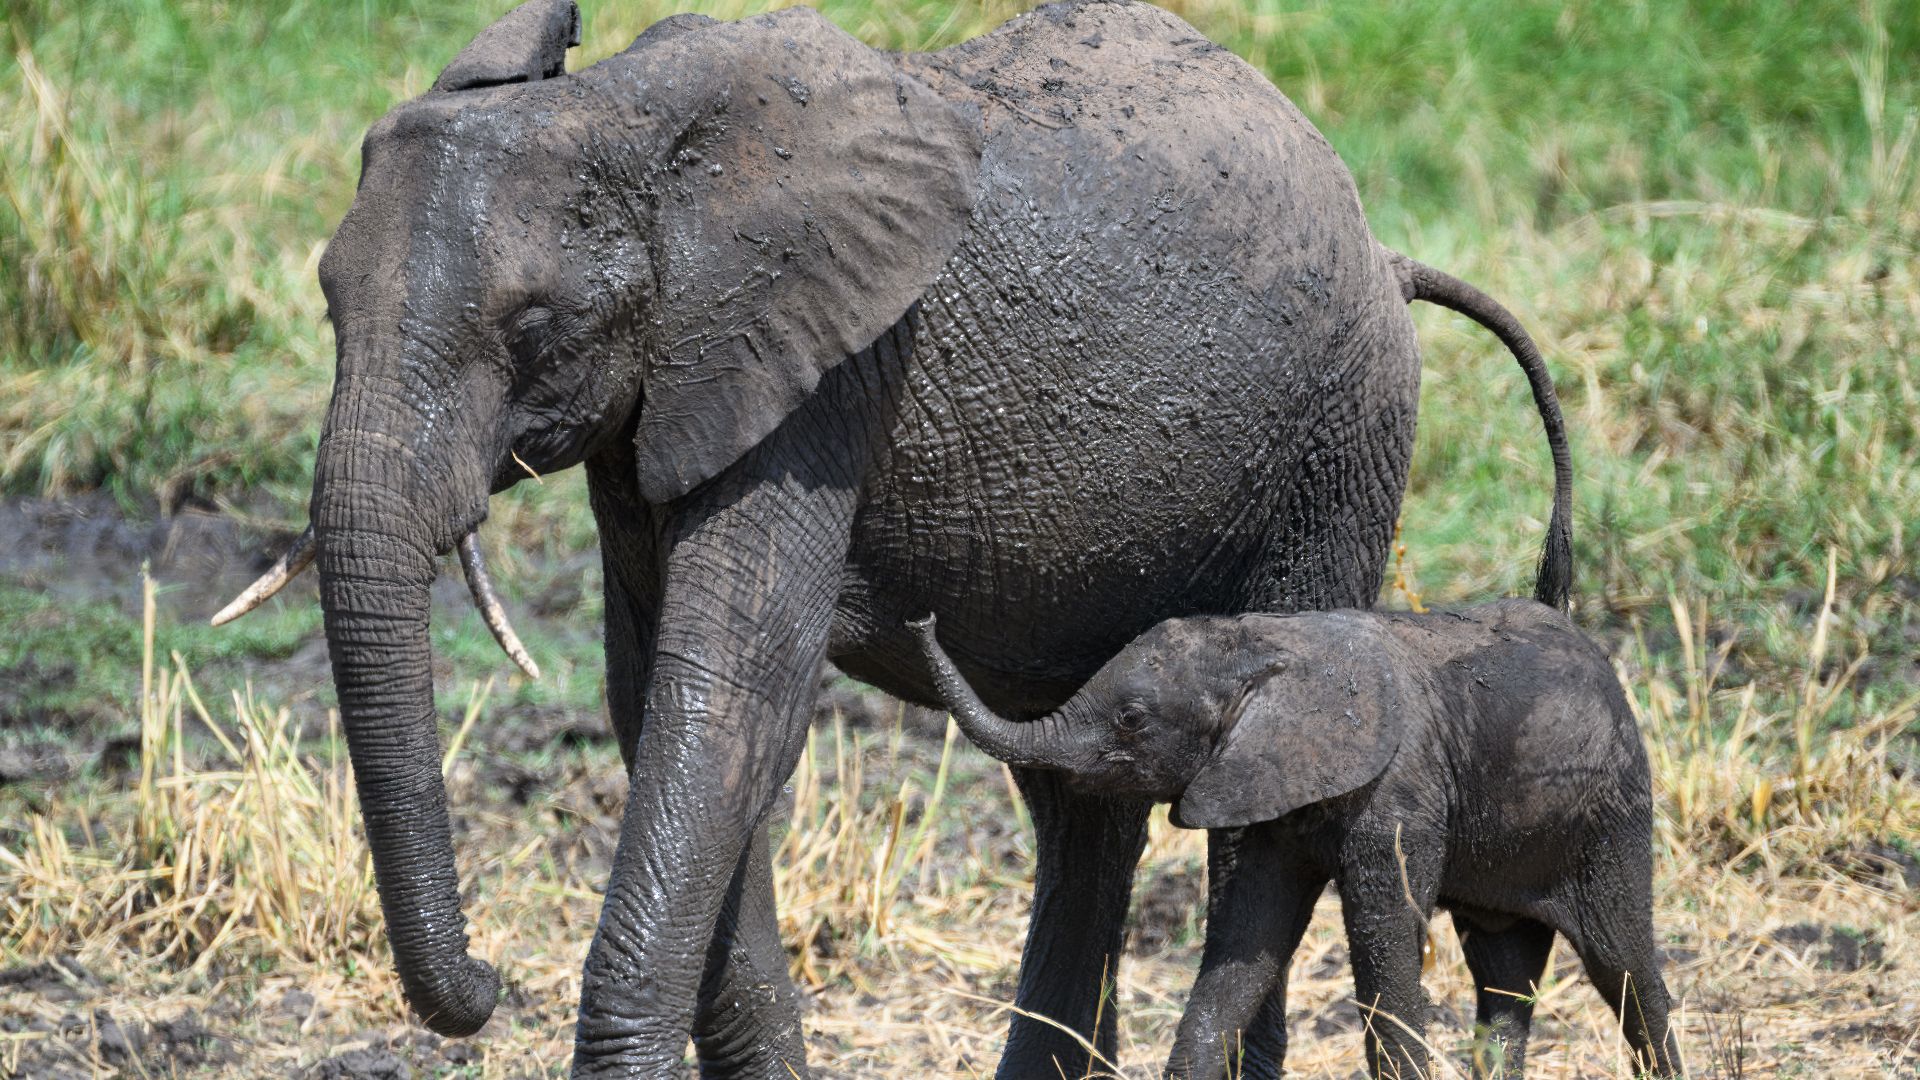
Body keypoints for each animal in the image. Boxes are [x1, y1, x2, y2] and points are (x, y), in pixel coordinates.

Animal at [211, 0, 1575, 1075]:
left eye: (533, 326)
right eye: (326, 300)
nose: (489, 985)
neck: (629, 124)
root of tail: (1387, 251)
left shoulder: (827, 380)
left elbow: (727, 703)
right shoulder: (677, 394)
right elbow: (663, 703)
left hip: (1339, 449)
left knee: (1262, 791)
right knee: (1079, 797)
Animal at [907, 599, 1682, 1080]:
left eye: (1131, 719)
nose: (923, 615)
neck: (1265, 643)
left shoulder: (1399, 792)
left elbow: (1383, 951)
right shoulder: (1267, 792)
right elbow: (1247, 945)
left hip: (1611, 812)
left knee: (1621, 963)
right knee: (1504, 977)